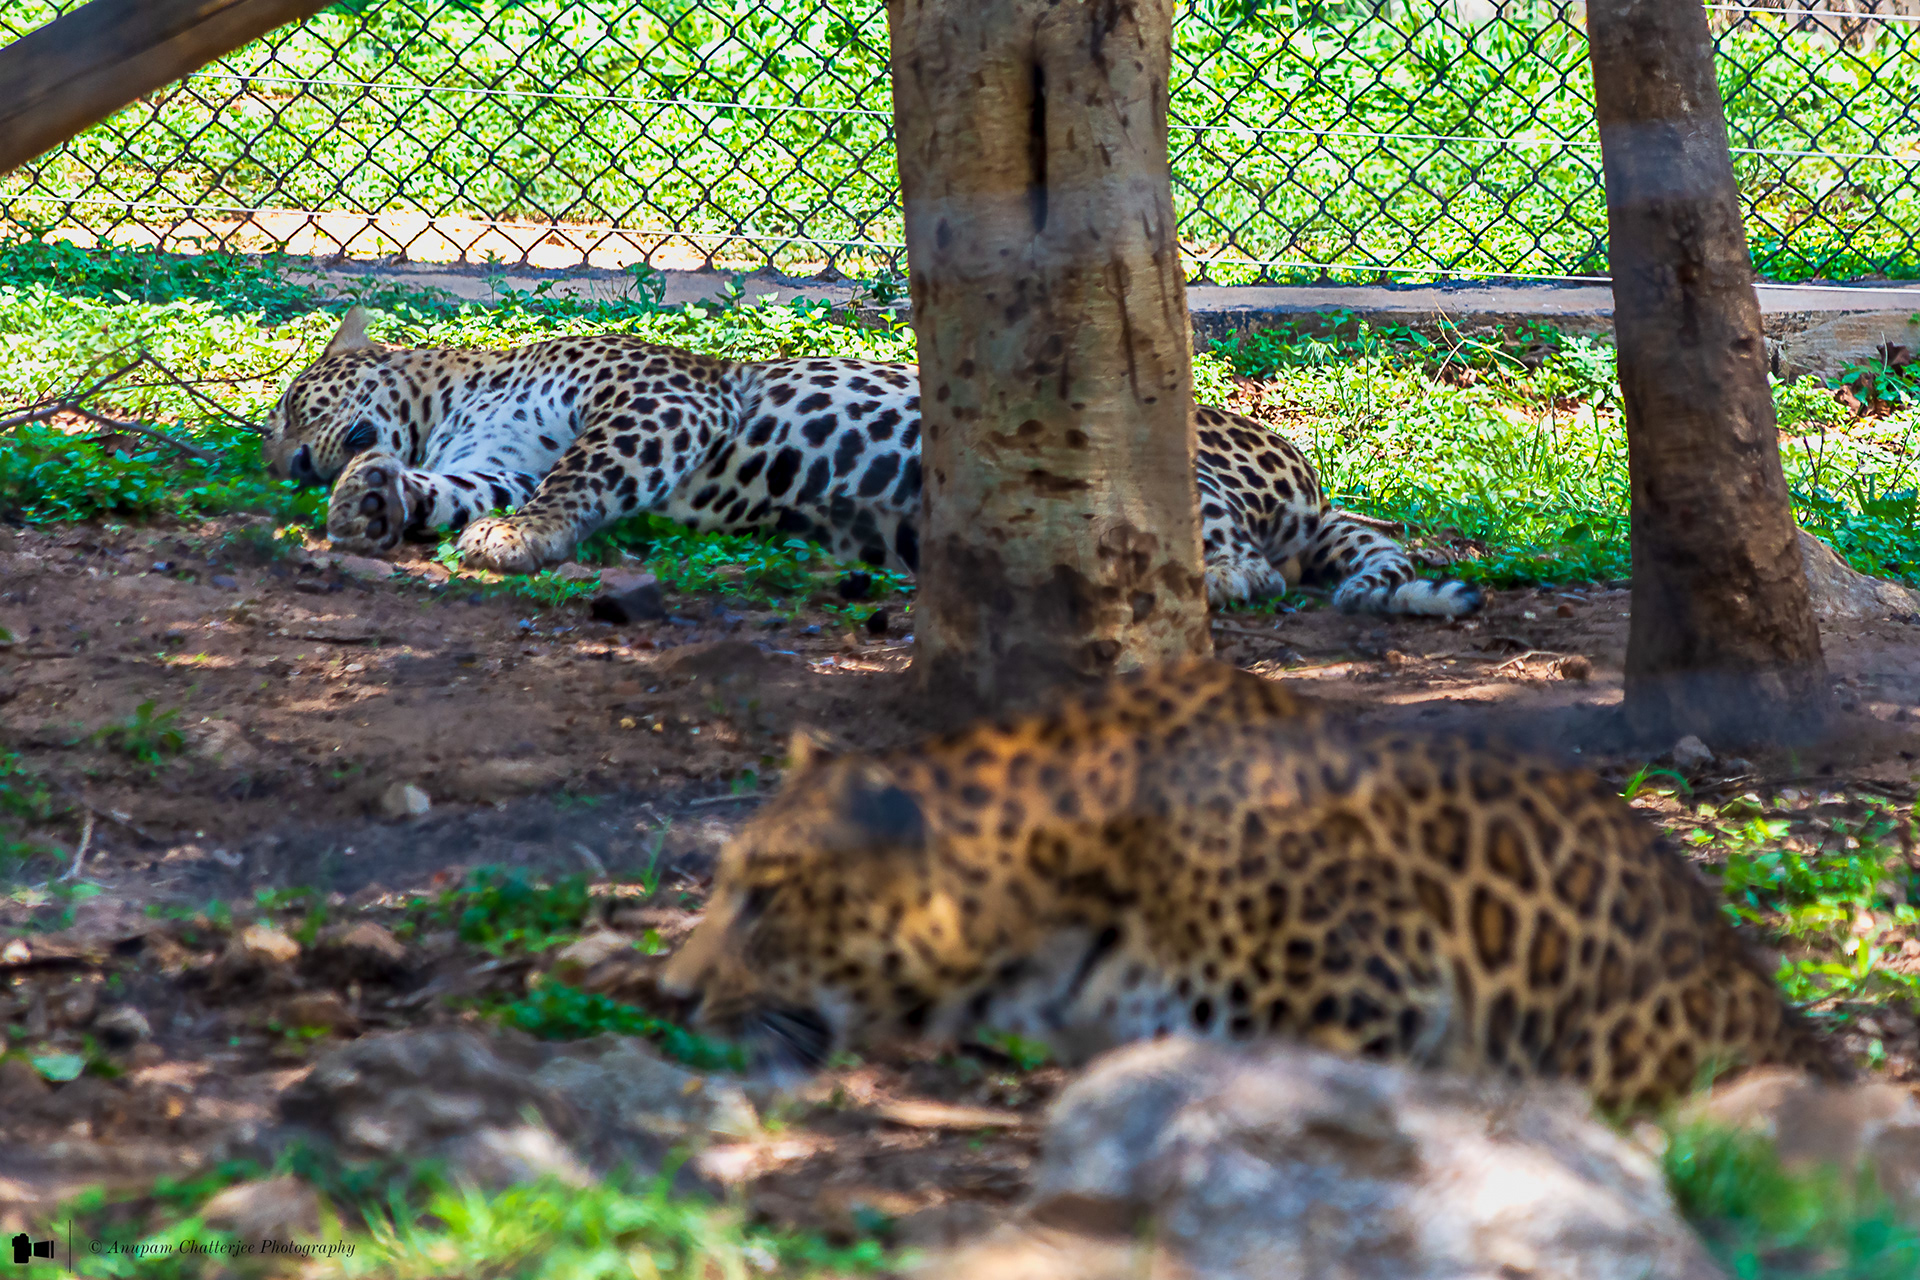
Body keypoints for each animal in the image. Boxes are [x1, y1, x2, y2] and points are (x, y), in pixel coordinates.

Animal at [263, 308, 1481, 617]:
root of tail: (1303, 476)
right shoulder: (494, 455)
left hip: (1173, 454)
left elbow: (581, 476)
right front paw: (370, 502)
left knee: (1253, 561)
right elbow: (449, 488)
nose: (281, 462)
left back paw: (1215, 575)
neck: (456, 398)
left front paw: (517, 539)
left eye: (284, 400)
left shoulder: (658, 398)